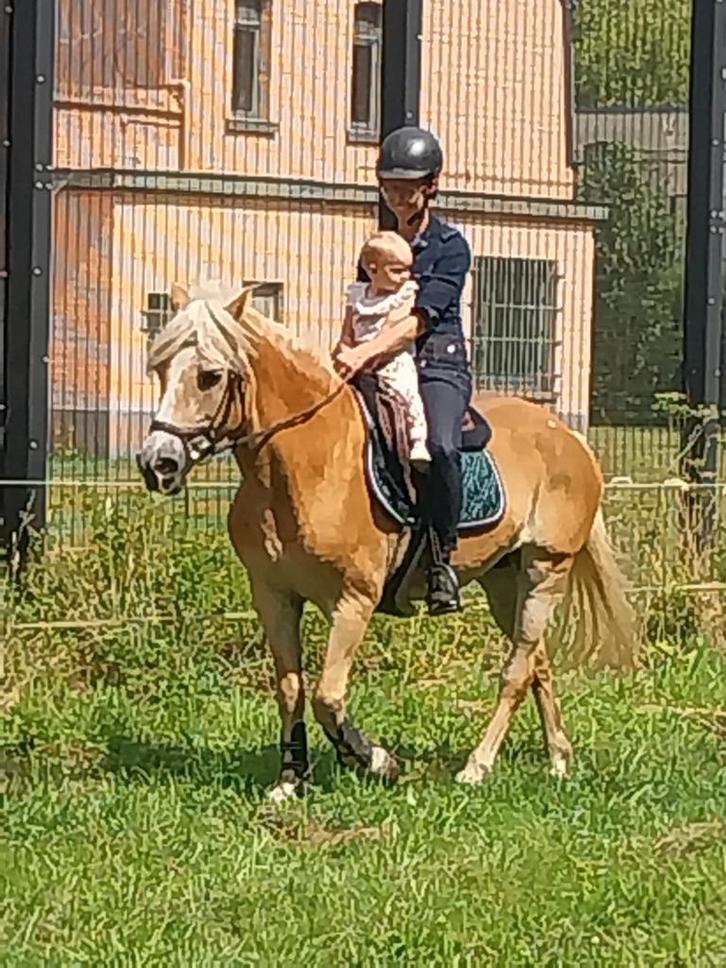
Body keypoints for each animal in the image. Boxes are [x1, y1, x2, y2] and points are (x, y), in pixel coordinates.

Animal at [137, 282, 636, 802]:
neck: (304, 464)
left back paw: (477, 766)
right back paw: (559, 758)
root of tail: (571, 436)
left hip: (546, 568)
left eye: (210, 376)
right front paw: (291, 779)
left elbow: (327, 696)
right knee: (536, 660)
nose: (158, 464)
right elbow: (291, 688)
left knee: (516, 671)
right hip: (505, 580)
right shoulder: (273, 595)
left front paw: (376, 760)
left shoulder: (352, 600)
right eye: (160, 368)